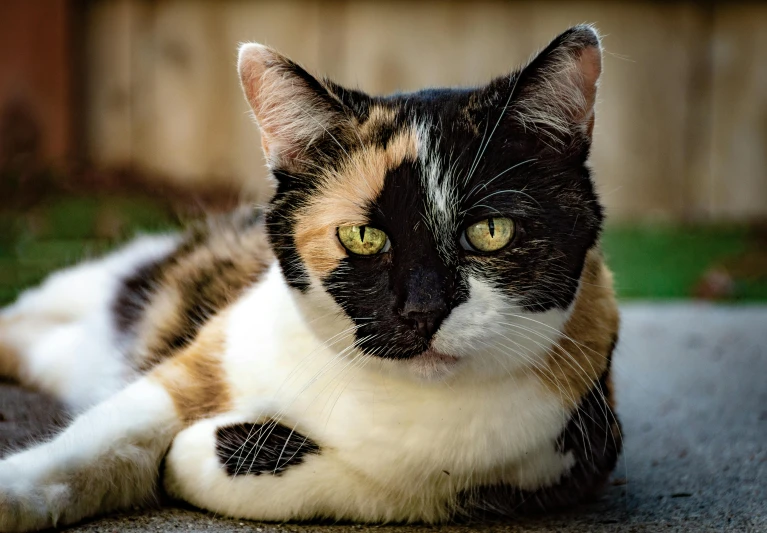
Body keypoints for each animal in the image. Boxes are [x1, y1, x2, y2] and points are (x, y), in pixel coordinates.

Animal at [0, 23, 624, 528]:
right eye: (363, 237)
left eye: (491, 231)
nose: (422, 310)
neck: (395, 398)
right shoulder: (201, 363)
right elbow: (101, 439)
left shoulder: (575, 455)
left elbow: (377, 486)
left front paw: (201, 453)